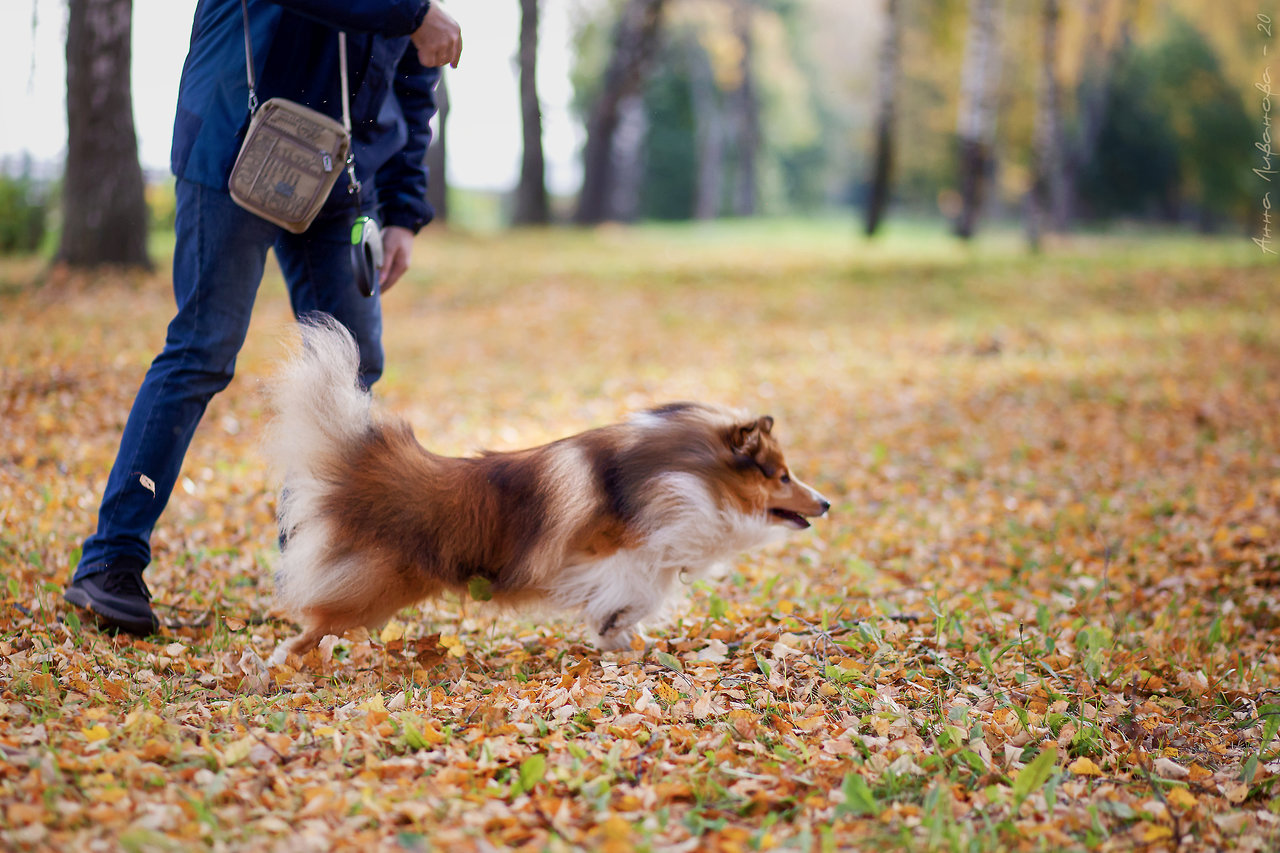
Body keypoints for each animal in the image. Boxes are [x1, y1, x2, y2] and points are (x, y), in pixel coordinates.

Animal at [268, 315, 829, 660]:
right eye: (782, 476)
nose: (825, 503)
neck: (693, 472)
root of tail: (372, 465)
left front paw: (620, 636)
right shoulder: (611, 551)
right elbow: (635, 586)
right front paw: (616, 628)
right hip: (370, 595)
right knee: (306, 632)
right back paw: (277, 668)